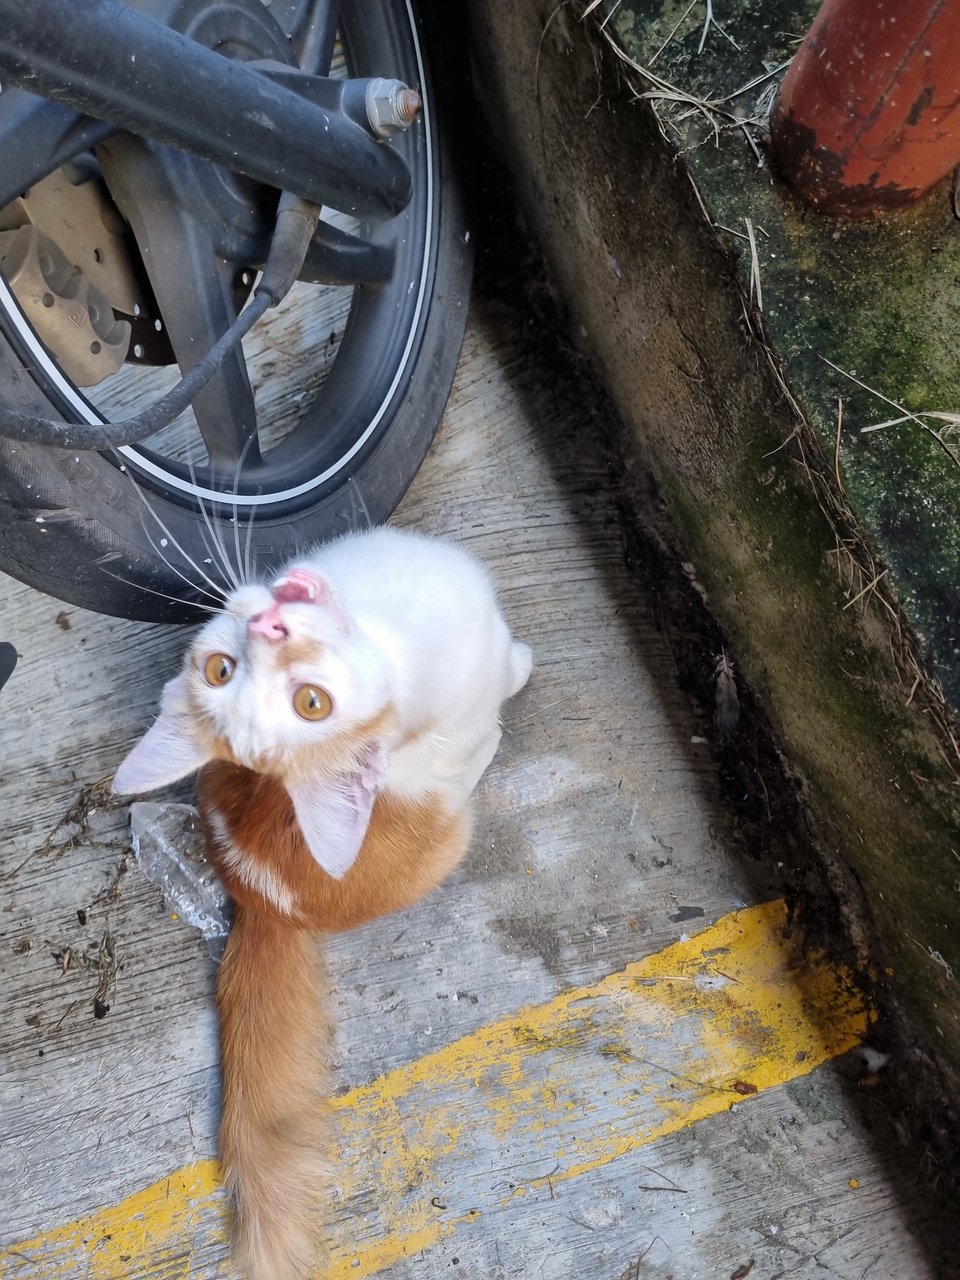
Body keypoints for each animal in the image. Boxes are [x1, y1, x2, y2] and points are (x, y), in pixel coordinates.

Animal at [116, 527, 535, 1280]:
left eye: (219, 669)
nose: (271, 627)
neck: (381, 612)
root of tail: (259, 898)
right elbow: (505, 672)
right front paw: (520, 667)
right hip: (448, 832)